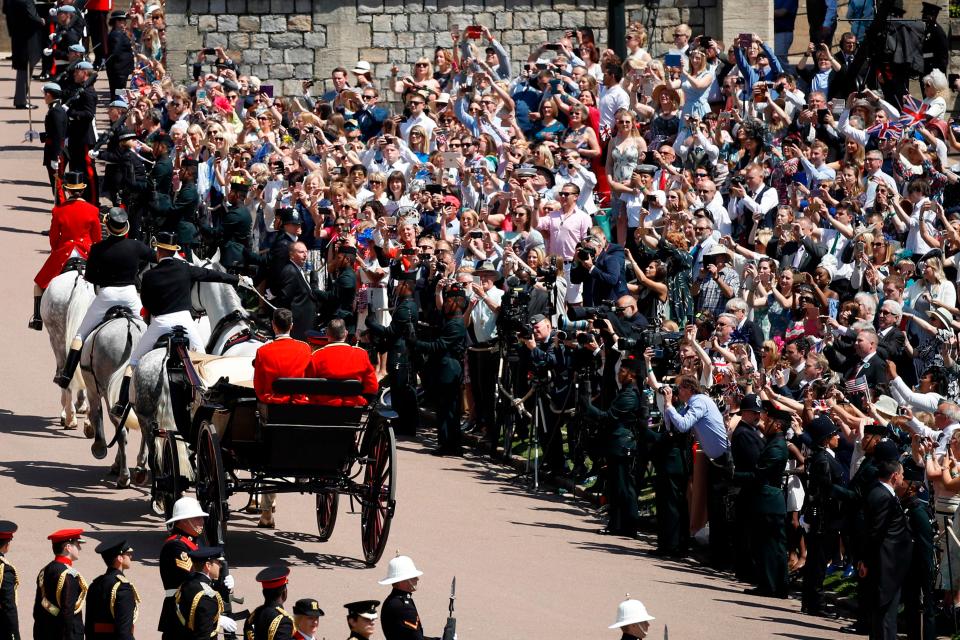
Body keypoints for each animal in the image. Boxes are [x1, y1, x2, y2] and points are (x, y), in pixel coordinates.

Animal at [79, 312, 147, 488]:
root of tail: (131, 329)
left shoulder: (93, 390)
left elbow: (96, 414)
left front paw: (99, 446)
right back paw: (140, 467)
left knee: (120, 432)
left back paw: (124, 476)